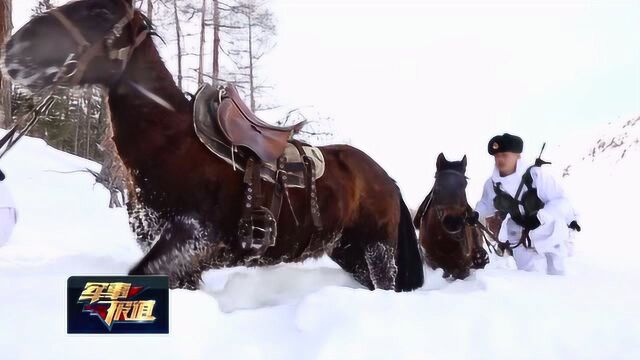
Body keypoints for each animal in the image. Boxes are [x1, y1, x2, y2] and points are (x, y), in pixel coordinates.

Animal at [5, 0, 424, 292]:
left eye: (99, 11)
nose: (15, 48)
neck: (169, 142)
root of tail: (387, 179)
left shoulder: (192, 240)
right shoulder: (182, 261)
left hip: (376, 251)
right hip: (348, 251)